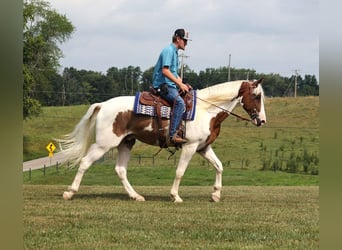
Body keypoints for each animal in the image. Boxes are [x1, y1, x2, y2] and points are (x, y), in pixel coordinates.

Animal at [58, 78, 268, 203]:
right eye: (256, 96)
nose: (262, 120)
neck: (206, 111)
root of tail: (102, 105)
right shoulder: (190, 146)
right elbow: (180, 172)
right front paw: (175, 196)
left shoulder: (203, 147)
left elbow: (219, 166)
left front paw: (215, 194)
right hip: (104, 144)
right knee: (85, 162)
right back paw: (69, 192)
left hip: (126, 143)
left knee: (120, 170)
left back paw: (136, 196)